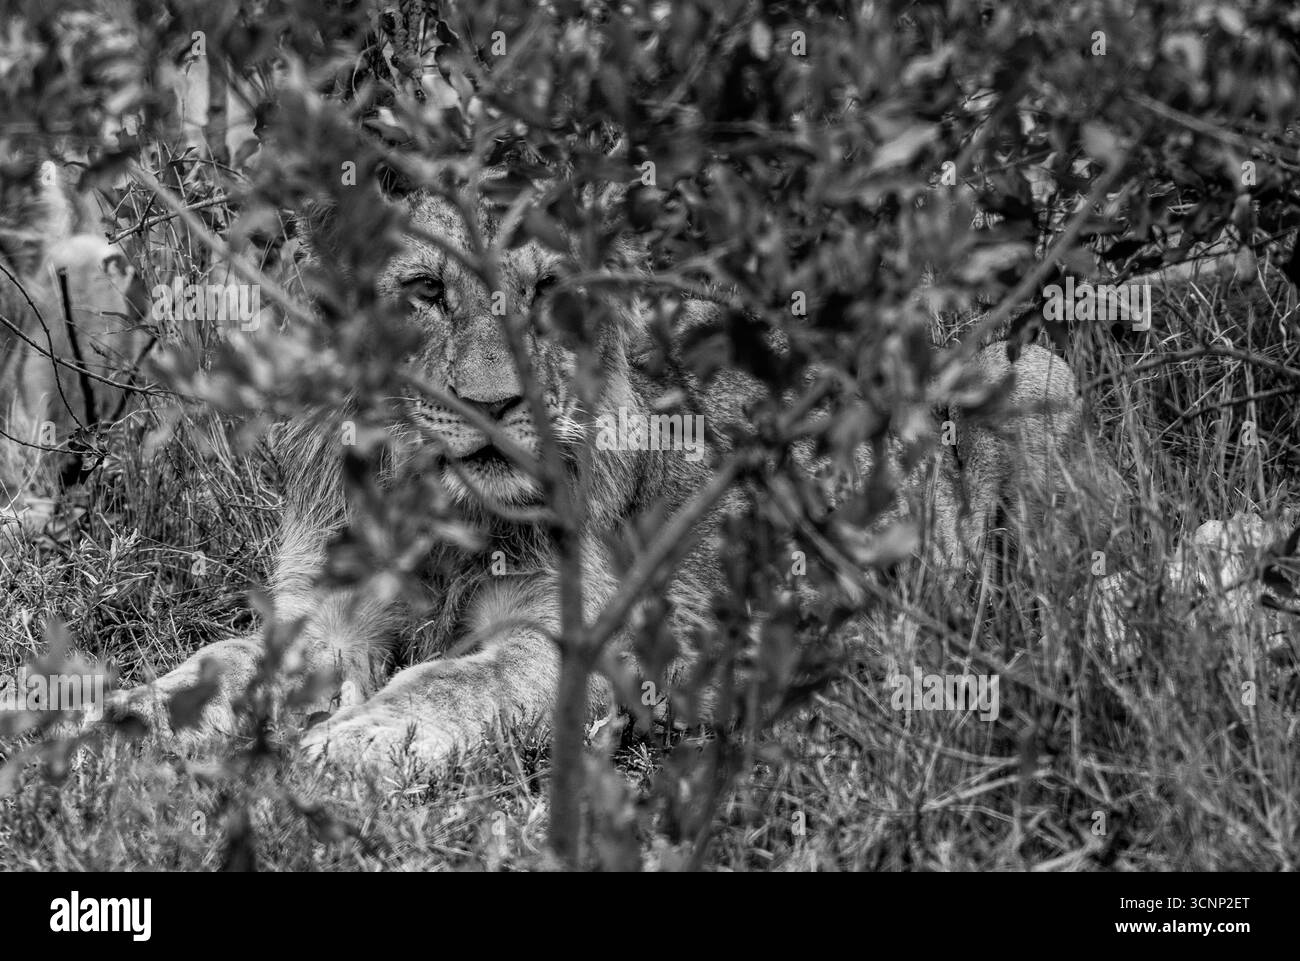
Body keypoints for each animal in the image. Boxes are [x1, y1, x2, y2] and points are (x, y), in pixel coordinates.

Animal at [99, 179, 1094, 770]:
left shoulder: (574, 640)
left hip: (1037, 374)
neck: (436, 512)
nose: (499, 405)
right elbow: (218, 662)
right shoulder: (322, 612)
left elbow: (450, 681)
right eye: (425, 291)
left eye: (545, 292)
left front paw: (357, 739)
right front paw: (120, 716)